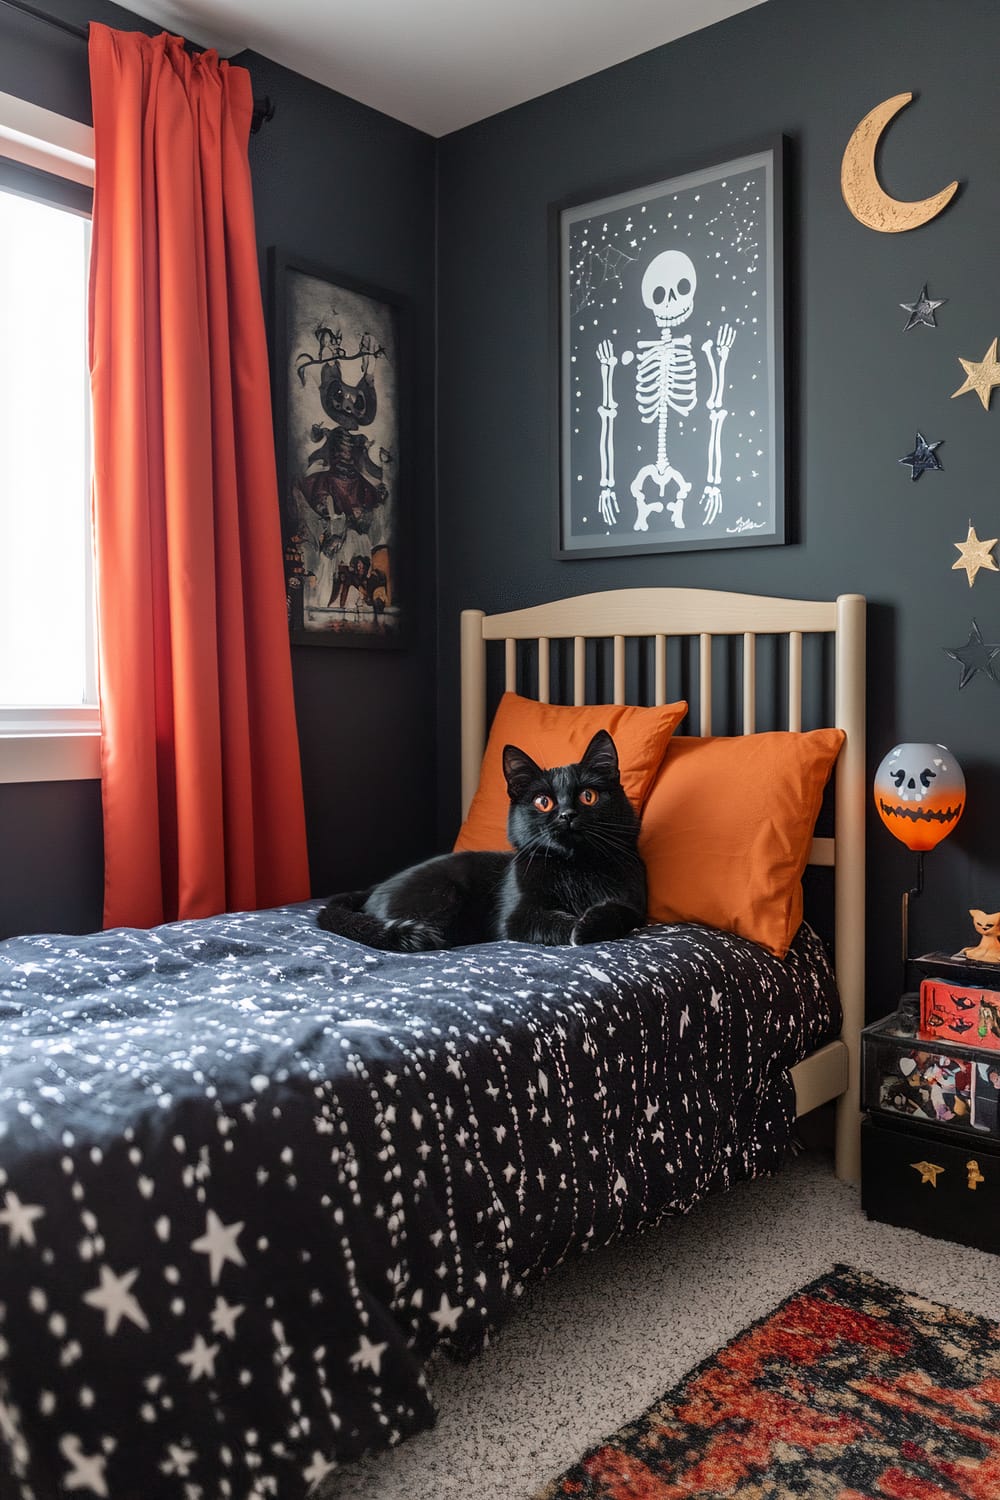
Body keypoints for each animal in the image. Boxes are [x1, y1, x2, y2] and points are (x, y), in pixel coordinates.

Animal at [319, 726, 650, 948]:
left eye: (588, 796)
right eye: (544, 802)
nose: (567, 815)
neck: (574, 868)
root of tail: (373, 890)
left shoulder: (636, 902)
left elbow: (623, 911)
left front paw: (589, 923)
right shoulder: (516, 916)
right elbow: (550, 921)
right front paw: (576, 927)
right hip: (442, 897)